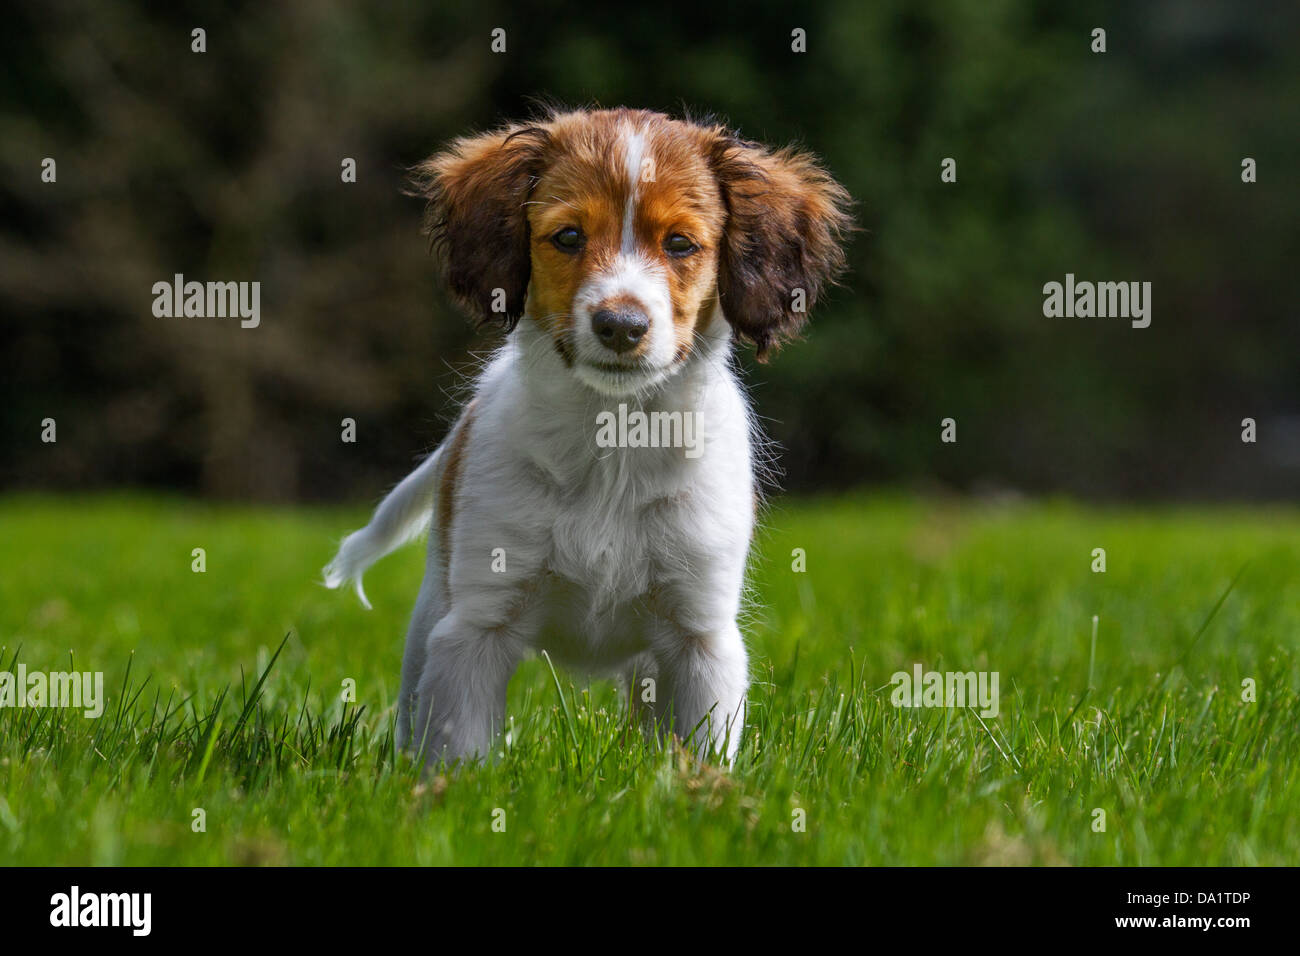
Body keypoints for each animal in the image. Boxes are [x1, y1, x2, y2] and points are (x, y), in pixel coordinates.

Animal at [325, 106, 852, 764]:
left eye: (680, 243)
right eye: (569, 237)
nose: (621, 325)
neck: (612, 442)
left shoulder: (701, 639)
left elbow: (699, 751)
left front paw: (700, 790)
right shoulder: (475, 628)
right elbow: (459, 749)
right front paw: (452, 789)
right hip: (432, 614)